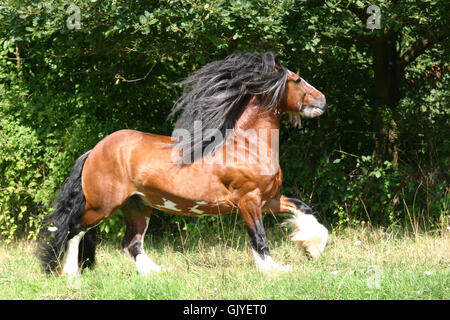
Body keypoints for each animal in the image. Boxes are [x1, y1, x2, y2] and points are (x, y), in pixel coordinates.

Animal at [38, 51, 326, 276]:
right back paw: (71, 273)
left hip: (137, 206)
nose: (322, 100)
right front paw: (275, 270)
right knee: (74, 230)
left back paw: (155, 273)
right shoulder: (249, 201)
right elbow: (259, 238)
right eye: (297, 79)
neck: (246, 146)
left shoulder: (269, 199)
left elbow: (303, 207)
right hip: (103, 205)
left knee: (131, 242)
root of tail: (93, 152)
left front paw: (312, 247)